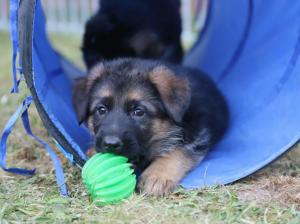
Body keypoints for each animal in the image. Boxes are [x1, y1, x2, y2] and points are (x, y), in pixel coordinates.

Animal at [72, 58, 227, 196]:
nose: (110, 144)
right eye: (101, 110)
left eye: (139, 112)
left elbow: (178, 151)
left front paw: (156, 175)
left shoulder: (199, 134)